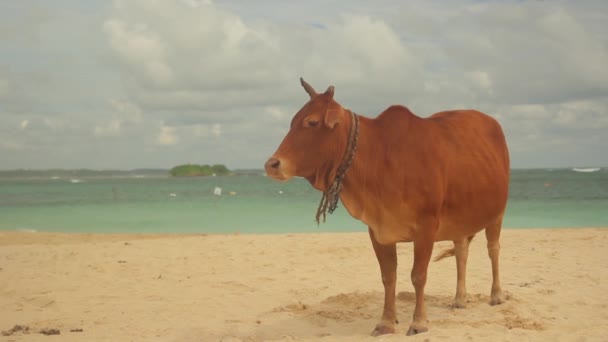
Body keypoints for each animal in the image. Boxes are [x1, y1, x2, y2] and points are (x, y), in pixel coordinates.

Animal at [264, 78, 510, 336]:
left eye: (311, 122)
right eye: (292, 122)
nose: (272, 164)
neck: (380, 158)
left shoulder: (426, 227)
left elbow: (418, 275)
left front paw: (419, 322)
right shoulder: (378, 231)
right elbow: (388, 277)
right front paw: (385, 322)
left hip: (498, 213)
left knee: (493, 249)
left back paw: (496, 295)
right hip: (461, 219)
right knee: (462, 251)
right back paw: (460, 299)